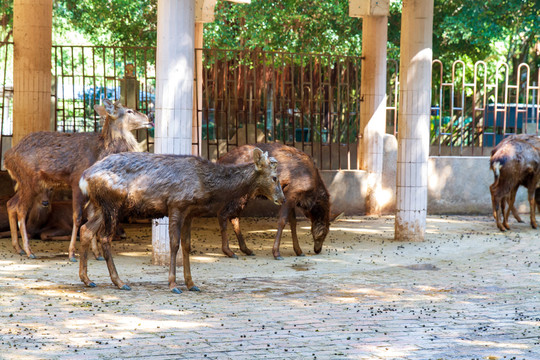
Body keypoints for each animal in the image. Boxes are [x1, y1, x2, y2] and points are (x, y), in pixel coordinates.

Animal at [4, 100, 152, 260]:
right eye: (129, 111)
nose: (149, 118)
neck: (101, 152)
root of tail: (7, 158)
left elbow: (91, 216)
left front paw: (97, 254)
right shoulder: (76, 182)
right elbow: (78, 216)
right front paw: (72, 254)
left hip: (23, 182)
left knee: (11, 204)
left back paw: (18, 248)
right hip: (29, 180)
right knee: (21, 209)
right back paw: (29, 251)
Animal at [77, 148, 284, 294]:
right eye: (274, 178)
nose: (282, 199)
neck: (205, 184)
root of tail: (84, 177)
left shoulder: (189, 213)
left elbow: (187, 245)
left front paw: (192, 283)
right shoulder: (176, 205)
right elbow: (174, 244)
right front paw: (173, 284)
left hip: (100, 205)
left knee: (86, 230)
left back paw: (87, 280)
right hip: (113, 204)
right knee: (104, 237)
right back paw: (120, 282)